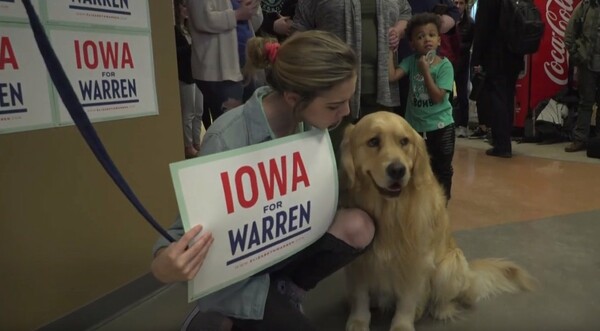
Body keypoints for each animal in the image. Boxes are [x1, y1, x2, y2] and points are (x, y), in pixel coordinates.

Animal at [338, 112, 536, 331]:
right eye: (373, 141)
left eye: (404, 141)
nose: (398, 170)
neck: (390, 212)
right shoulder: (359, 263)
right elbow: (360, 296)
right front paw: (358, 321)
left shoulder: (416, 261)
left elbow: (407, 300)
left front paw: (402, 325)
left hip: (448, 266)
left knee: (440, 299)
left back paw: (439, 310)